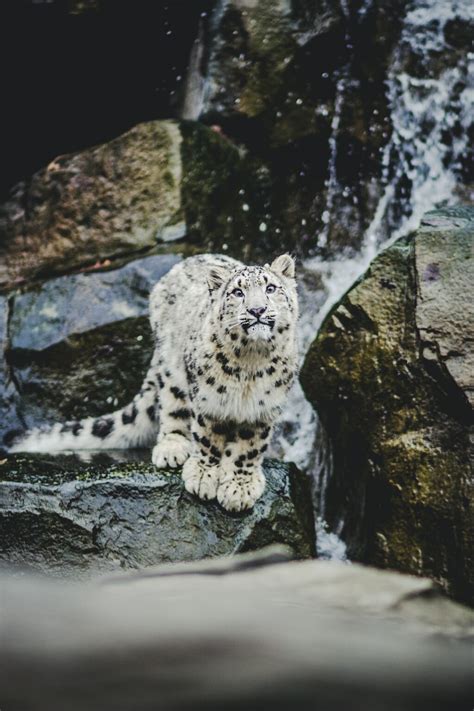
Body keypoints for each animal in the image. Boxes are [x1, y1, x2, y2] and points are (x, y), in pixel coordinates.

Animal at [10, 253, 299, 511]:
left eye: (271, 288)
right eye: (238, 292)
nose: (257, 309)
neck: (251, 364)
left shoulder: (263, 407)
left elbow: (249, 447)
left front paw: (240, 487)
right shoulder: (207, 399)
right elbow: (207, 437)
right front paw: (204, 475)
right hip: (173, 370)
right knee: (171, 406)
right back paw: (172, 447)